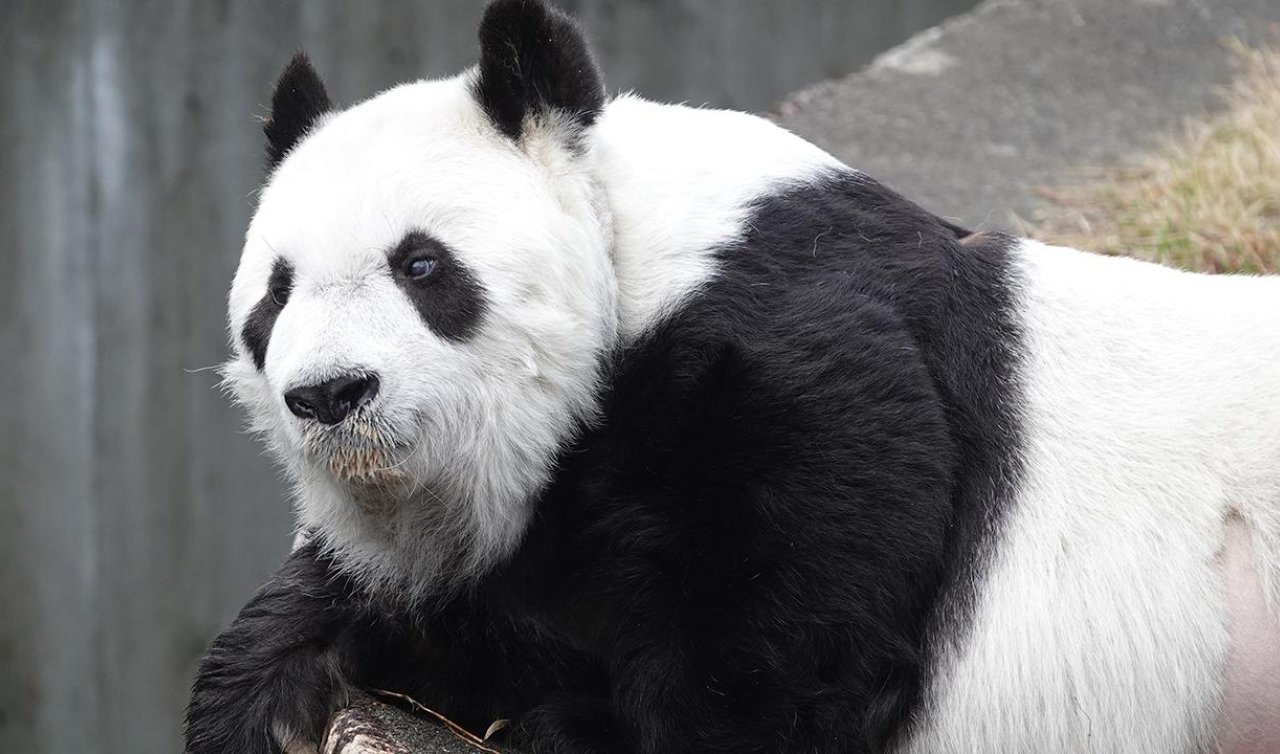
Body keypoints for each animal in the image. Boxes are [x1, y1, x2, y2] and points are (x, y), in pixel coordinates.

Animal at [185, 1, 1280, 752]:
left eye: (421, 266)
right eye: (276, 295)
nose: (331, 395)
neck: (635, 258)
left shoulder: (796, 360)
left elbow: (782, 658)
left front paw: (576, 723)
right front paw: (267, 690)